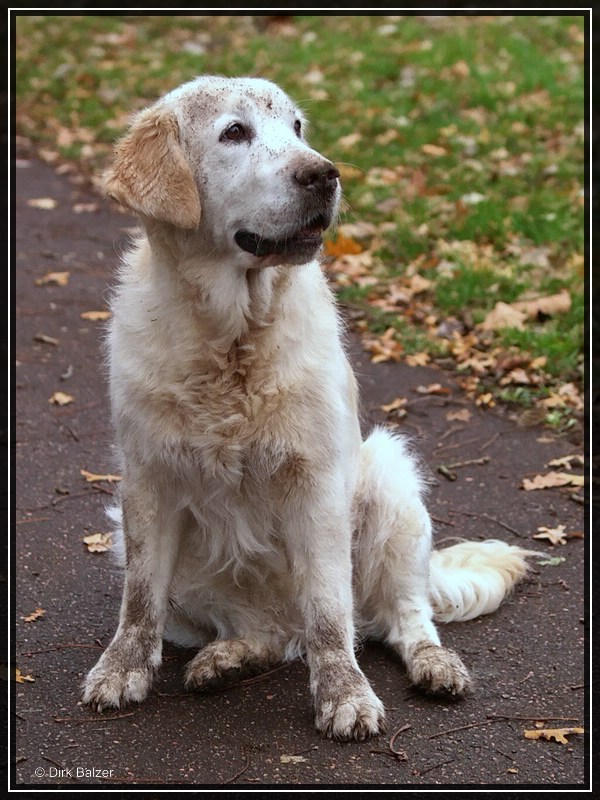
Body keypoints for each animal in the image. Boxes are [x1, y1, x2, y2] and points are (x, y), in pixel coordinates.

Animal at [83, 78, 536, 740]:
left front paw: (345, 694)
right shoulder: (146, 481)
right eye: (234, 132)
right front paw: (121, 670)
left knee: (403, 616)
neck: (232, 338)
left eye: (297, 128)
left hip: (389, 480)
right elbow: (139, 599)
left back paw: (434, 663)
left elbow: (328, 610)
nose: (324, 174)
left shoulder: (317, 485)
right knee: (265, 632)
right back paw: (227, 657)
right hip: (141, 545)